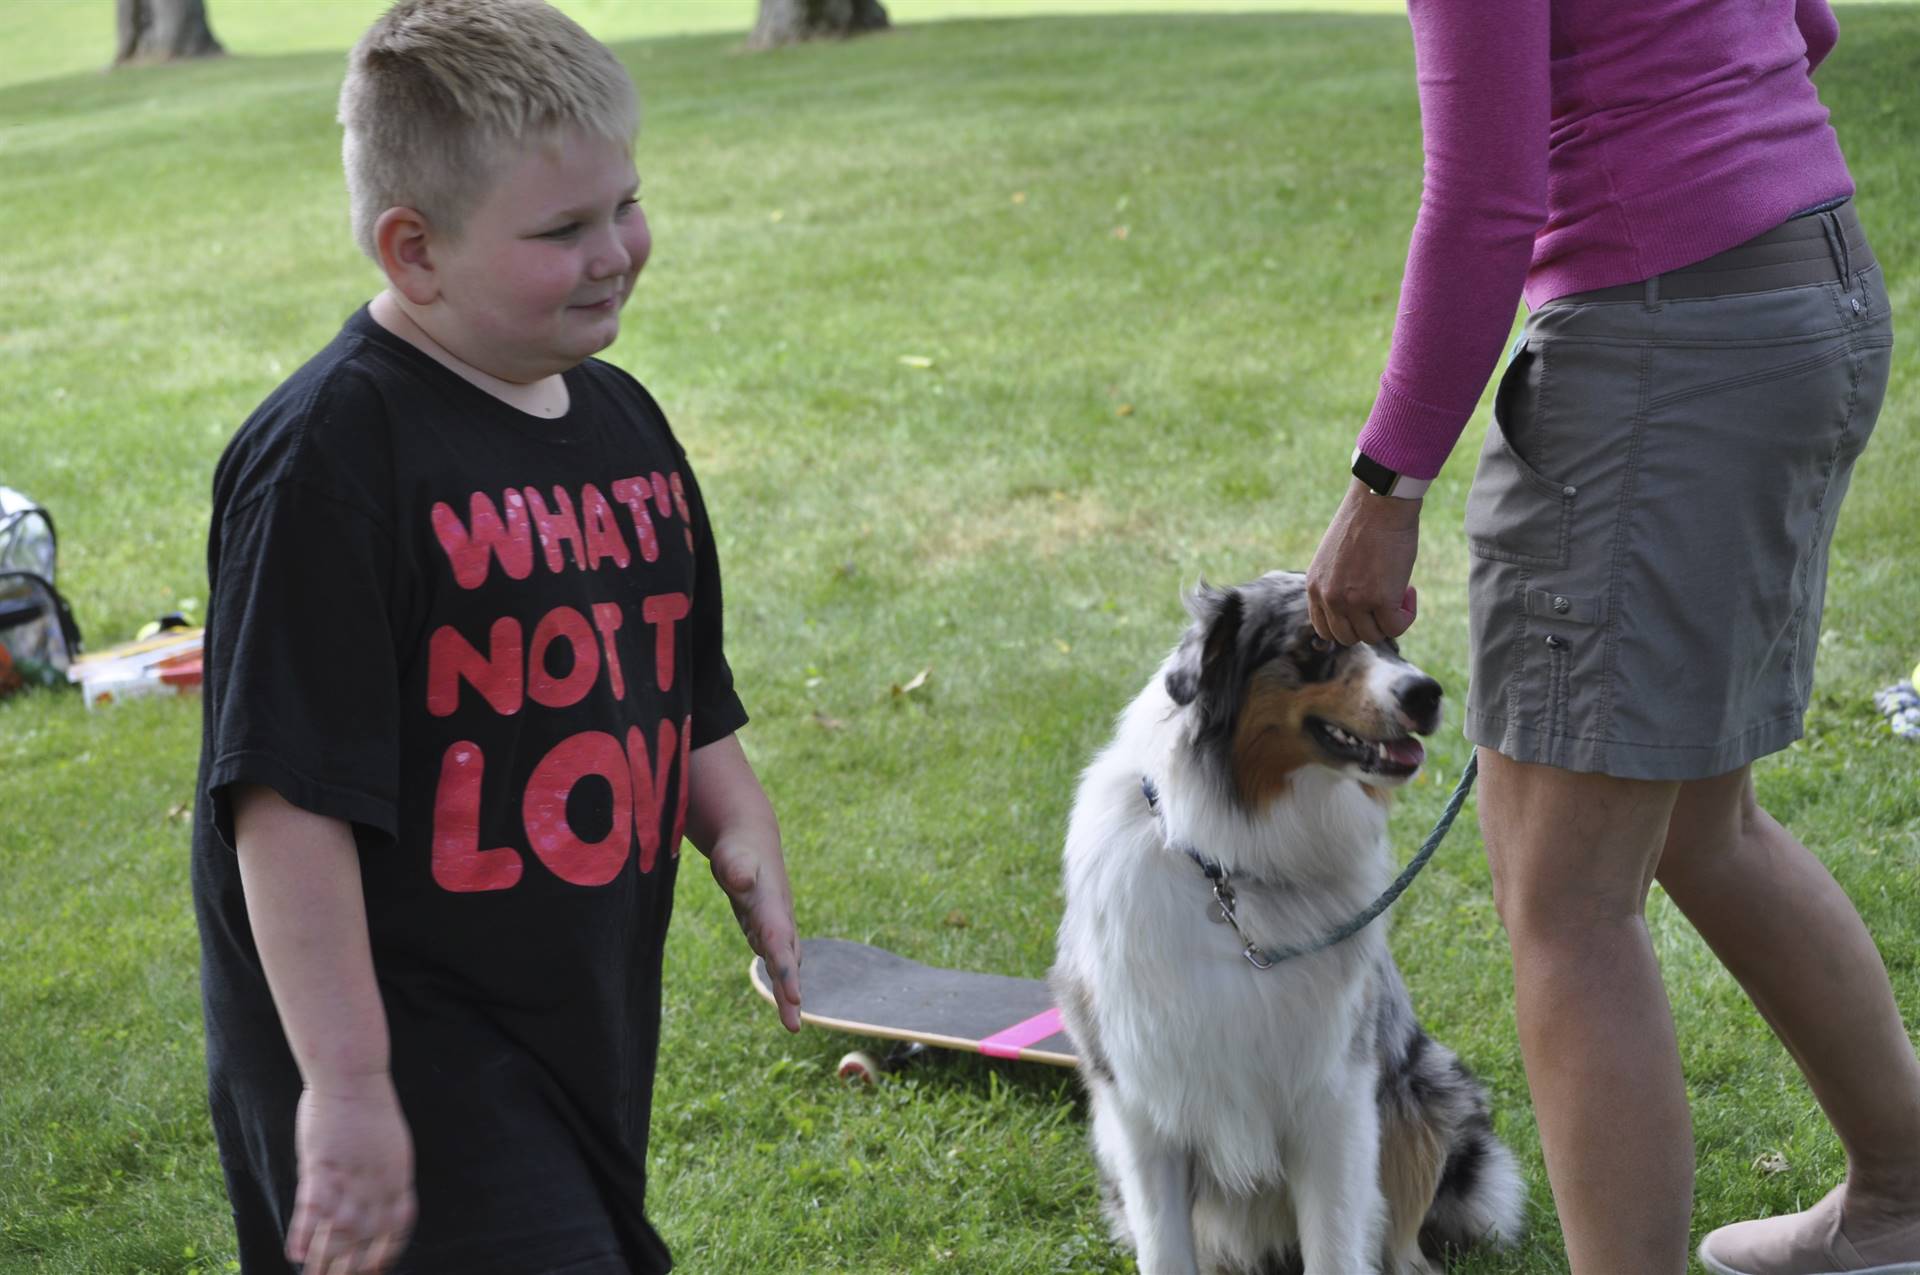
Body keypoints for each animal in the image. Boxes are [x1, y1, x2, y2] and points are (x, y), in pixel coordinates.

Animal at [1044, 572, 1520, 1267]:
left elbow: (1336, 1247)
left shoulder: (1335, 1091)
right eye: (1317, 642)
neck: (1232, 870)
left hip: (1424, 1093)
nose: (1427, 692)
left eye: (1391, 641)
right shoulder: (1141, 1102)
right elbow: (1165, 1249)